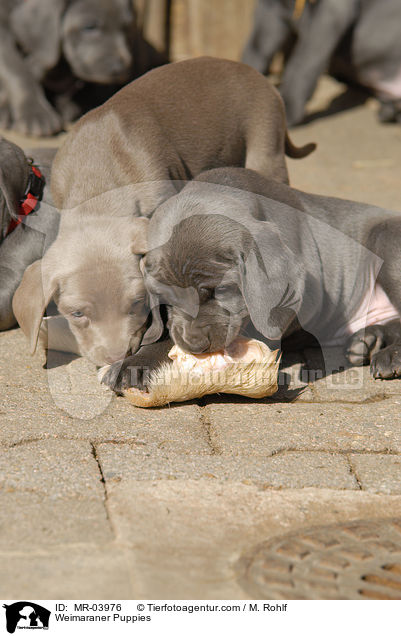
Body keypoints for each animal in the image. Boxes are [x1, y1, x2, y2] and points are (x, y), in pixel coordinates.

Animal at [11, 58, 316, 368]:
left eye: (137, 303)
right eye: (77, 314)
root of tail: (254, 73)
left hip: (265, 148)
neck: (96, 180)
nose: (117, 356)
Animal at [101, 164, 401, 392]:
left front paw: (135, 364)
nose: (195, 345)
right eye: (166, 299)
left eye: (220, 290)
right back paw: (366, 342)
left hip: (387, 240)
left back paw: (389, 355)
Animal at [242, 0, 400, 125]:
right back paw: (390, 111)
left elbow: (303, 62)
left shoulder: (330, 11)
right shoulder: (269, 8)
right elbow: (255, 51)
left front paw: (286, 107)